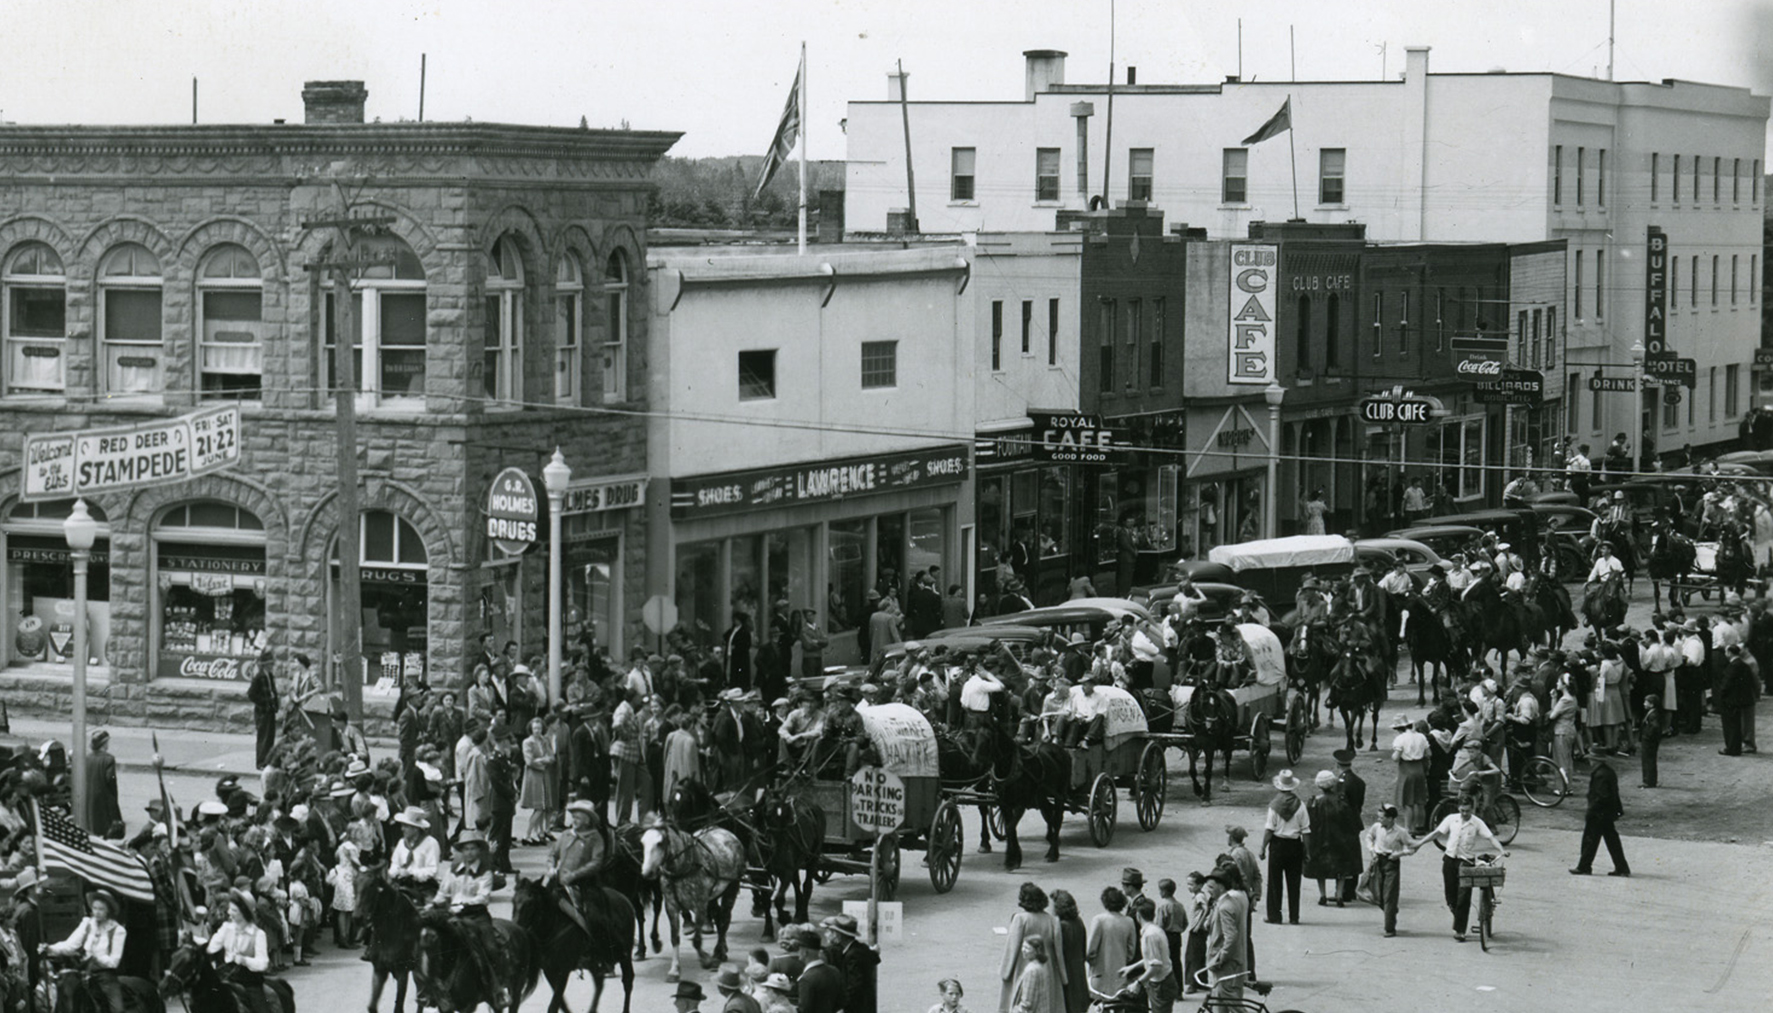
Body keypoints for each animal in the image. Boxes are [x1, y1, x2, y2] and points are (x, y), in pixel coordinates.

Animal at [514, 876, 638, 1007]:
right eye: (514, 901)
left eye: (530, 903)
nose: (516, 927)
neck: (554, 925)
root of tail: (625, 900)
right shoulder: (549, 971)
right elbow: (561, 1004)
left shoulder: (563, 971)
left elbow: (554, 1004)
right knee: (599, 984)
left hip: (625, 955)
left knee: (627, 981)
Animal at [751, 780, 826, 936]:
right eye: (767, 813)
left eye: (785, 813)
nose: (779, 844)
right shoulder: (760, 875)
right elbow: (766, 901)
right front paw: (767, 931)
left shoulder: (785, 871)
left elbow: (779, 899)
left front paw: (784, 917)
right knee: (797, 885)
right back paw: (798, 914)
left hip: (813, 857)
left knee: (807, 886)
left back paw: (803, 916)